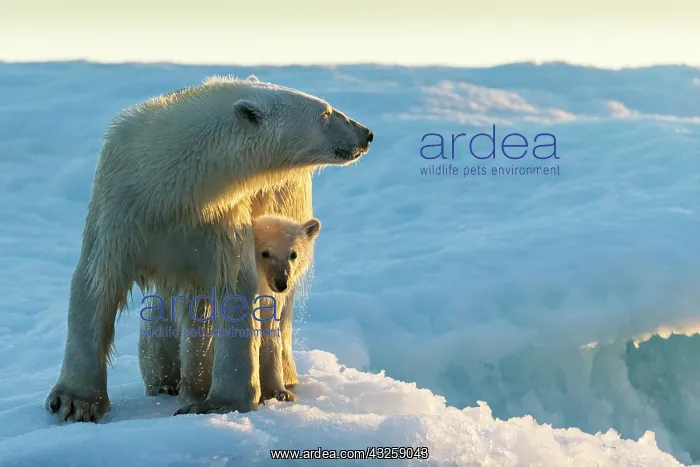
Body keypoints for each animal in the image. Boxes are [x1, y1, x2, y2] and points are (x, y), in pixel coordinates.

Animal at [137, 214, 322, 405]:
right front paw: (198, 393)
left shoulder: (270, 301)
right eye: (265, 253)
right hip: (157, 322)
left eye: (293, 254)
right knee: (156, 353)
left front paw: (280, 393)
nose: (281, 282)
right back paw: (165, 386)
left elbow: (269, 335)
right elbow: (201, 336)